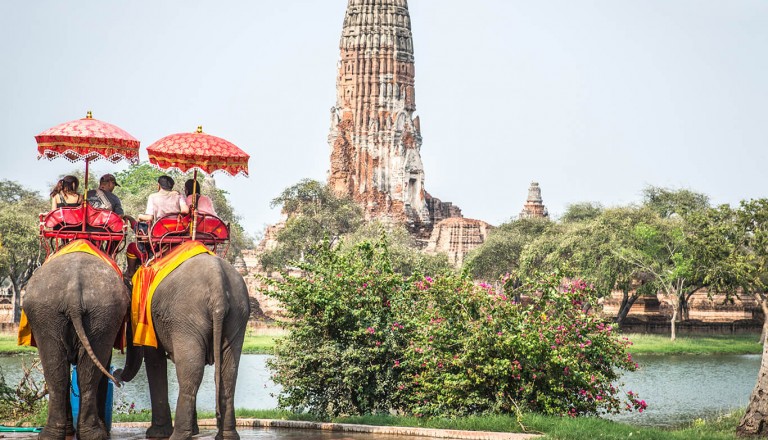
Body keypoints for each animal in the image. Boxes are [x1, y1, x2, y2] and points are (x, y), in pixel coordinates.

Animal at [22, 251, 127, 440]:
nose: (119, 379)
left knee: (68, 373)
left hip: (95, 315)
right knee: (67, 373)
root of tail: (73, 291)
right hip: (61, 313)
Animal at [117, 253, 250, 440]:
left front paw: (156, 433)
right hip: (238, 315)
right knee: (227, 371)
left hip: (186, 316)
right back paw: (227, 436)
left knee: (191, 371)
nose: (116, 374)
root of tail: (217, 283)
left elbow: (154, 361)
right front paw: (193, 431)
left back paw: (178, 435)